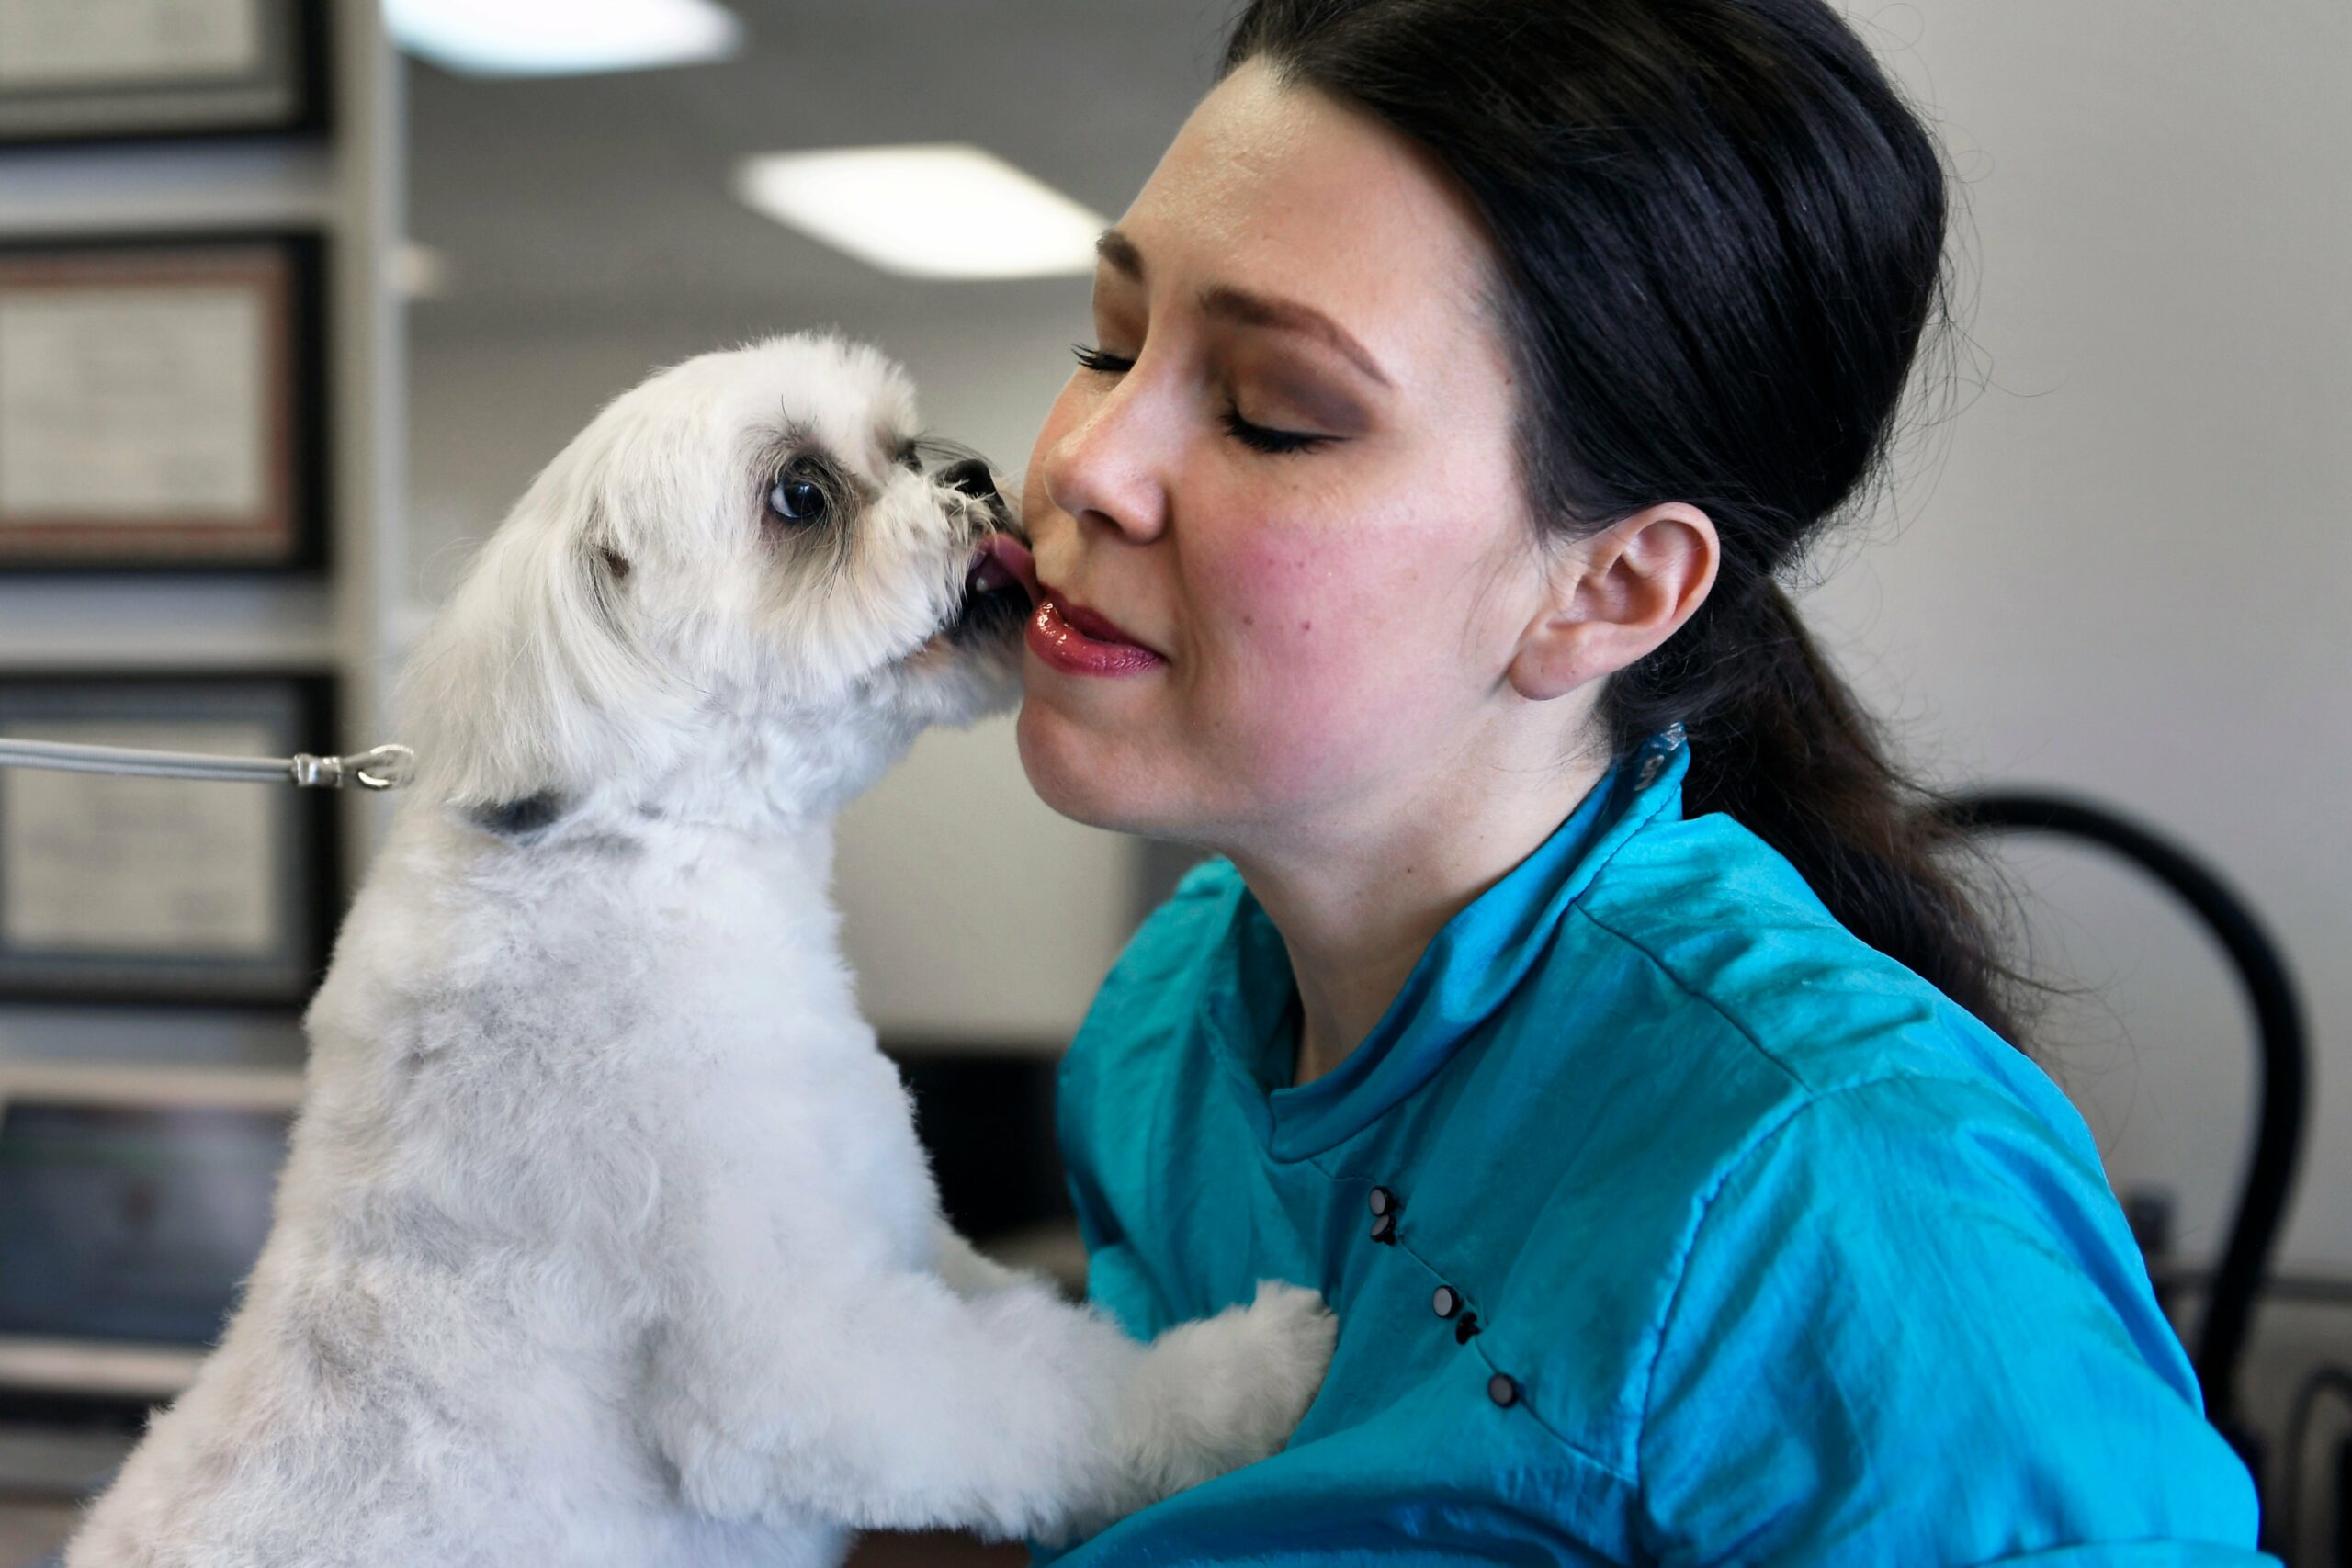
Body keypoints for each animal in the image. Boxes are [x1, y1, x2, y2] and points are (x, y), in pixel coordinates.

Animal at [64, 333, 1336, 1568]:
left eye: (904, 445)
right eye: (800, 494)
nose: (973, 476)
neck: (653, 852)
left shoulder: (899, 1225)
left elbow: (1026, 1308)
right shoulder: (802, 1358)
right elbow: (1063, 1393)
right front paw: (1249, 1371)